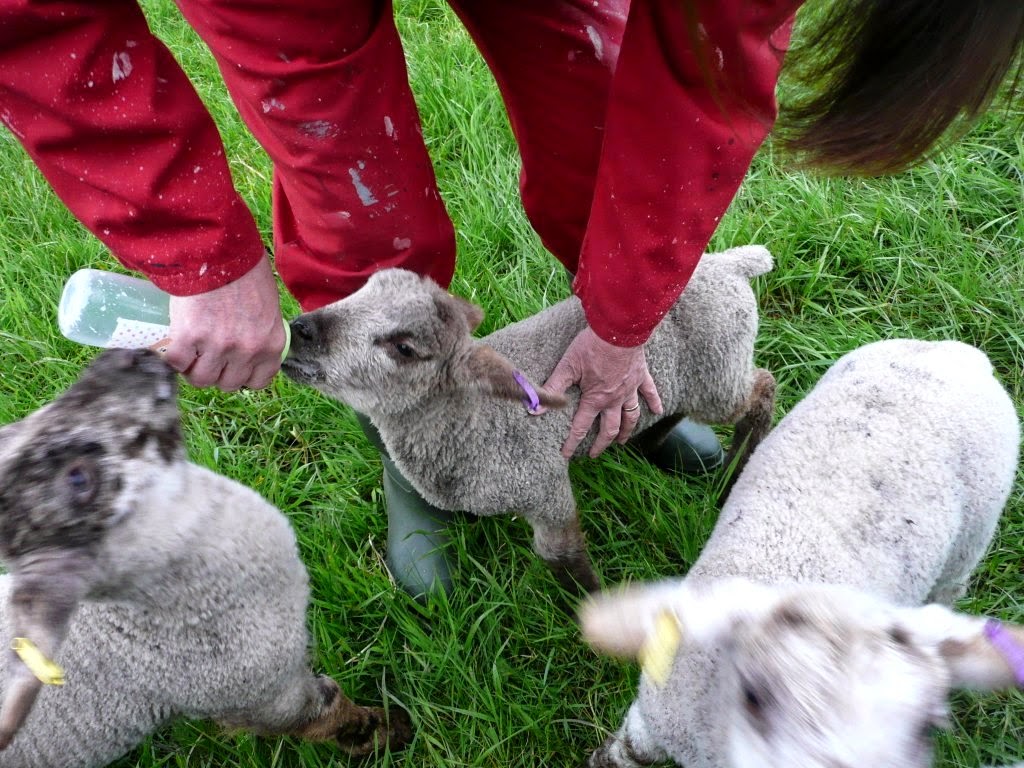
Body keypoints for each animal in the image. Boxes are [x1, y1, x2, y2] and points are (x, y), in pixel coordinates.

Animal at [281, 245, 777, 594]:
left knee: (762, 390)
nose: (300, 331)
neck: (472, 420)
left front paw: (591, 609)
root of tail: (731, 264)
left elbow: (559, 554)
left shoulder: (542, 484)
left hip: (717, 371)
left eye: (404, 347)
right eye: (358, 290)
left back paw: (733, 477)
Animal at [579, 338, 1022, 768]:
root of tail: (962, 355)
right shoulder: (655, 719)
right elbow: (620, 755)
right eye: (756, 695)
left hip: (970, 540)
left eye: (926, 729)